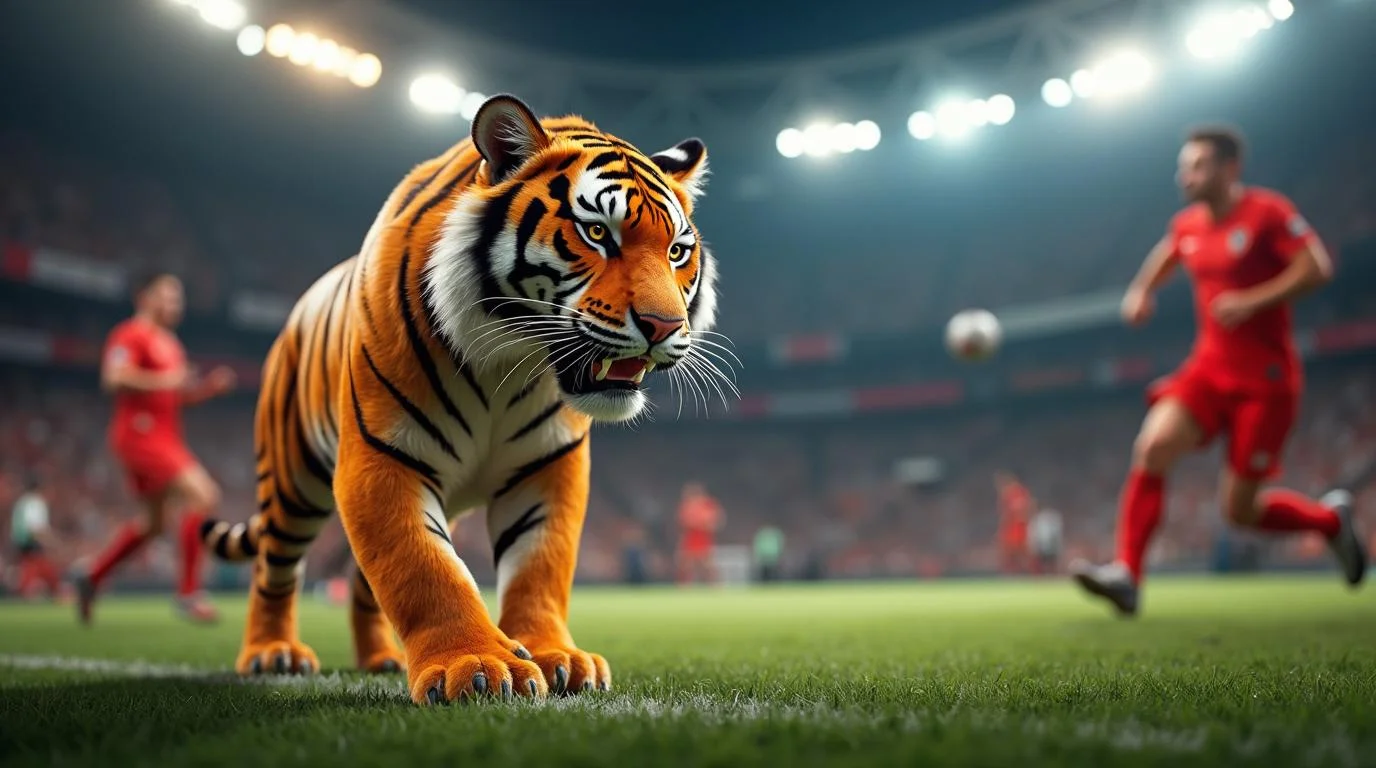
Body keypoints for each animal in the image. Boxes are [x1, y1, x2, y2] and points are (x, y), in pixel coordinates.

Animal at [200, 94, 720, 705]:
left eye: (677, 251)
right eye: (596, 232)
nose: (665, 327)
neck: (510, 362)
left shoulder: (548, 467)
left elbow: (541, 568)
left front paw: (556, 656)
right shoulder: (381, 457)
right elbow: (423, 568)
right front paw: (475, 665)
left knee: (358, 581)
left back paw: (380, 659)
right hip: (293, 482)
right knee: (274, 569)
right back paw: (272, 653)